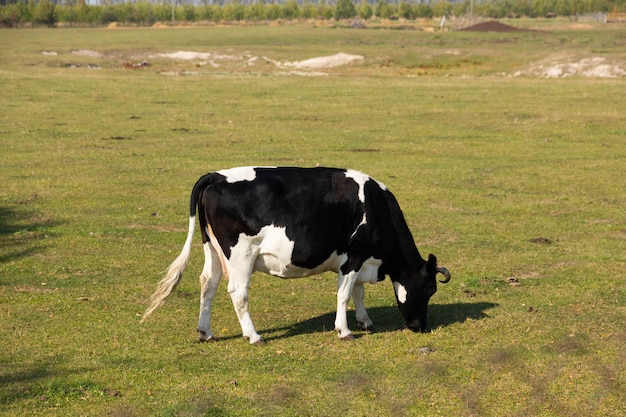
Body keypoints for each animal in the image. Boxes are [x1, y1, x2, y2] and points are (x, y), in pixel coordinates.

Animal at [143, 166, 448, 344]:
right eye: (429, 289)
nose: (420, 326)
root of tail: (217, 176)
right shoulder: (354, 256)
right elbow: (345, 294)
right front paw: (344, 330)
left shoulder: (359, 261)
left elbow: (358, 292)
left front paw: (364, 321)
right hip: (241, 253)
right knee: (238, 293)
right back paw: (254, 335)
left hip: (214, 249)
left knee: (208, 284)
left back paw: (206, 332)